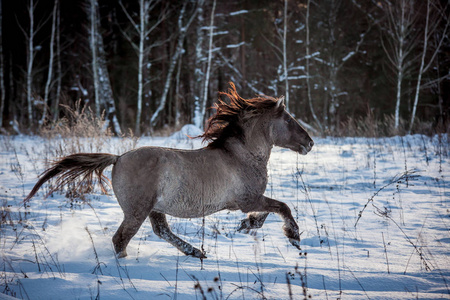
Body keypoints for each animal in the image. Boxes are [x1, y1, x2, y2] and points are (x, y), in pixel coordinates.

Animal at [24, 83, 312, 258]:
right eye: (289, 120)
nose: (309, 143)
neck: (241, 155)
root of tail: (118, 158)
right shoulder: (246, 200)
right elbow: (282, 207)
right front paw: (293, 236)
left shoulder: (246, 201)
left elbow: (268, 212)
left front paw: (247, 224)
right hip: (137, 211)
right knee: (121, 239)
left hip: (154, 208)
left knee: (161, 231)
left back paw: (196, 252)